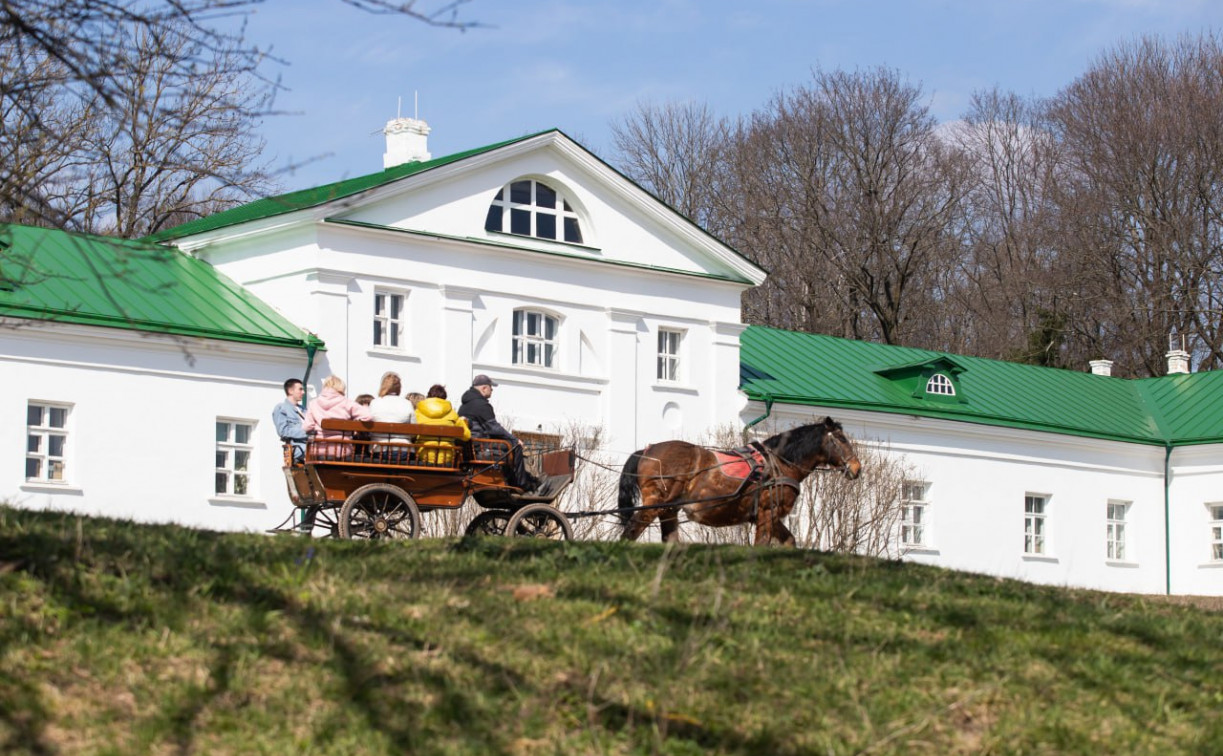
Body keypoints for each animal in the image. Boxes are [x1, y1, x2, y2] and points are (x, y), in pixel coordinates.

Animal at [616, 415, 865, 545]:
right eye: (841, 439)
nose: (857, 468)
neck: (779, 463)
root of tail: (647, 450)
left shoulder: (769, 517)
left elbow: (789, 541)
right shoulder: (767, 513)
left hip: (668, 509)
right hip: (655, 504)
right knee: (631, 531)